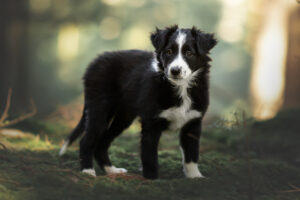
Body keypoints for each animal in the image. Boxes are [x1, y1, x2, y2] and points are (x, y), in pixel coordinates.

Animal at [59, 25, 217, 180]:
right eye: (168, 52)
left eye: (189, 53)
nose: (175, 71)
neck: (181, 88)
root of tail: (95, 61)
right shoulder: (151, 123)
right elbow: (150, 156)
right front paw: (152, 179)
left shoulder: (193, 123)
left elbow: (192, 154)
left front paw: (195, 177)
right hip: (99, 108)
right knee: (86, 140)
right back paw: (87, 171)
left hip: (123, 117)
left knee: (102, 143)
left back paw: (112, 170)